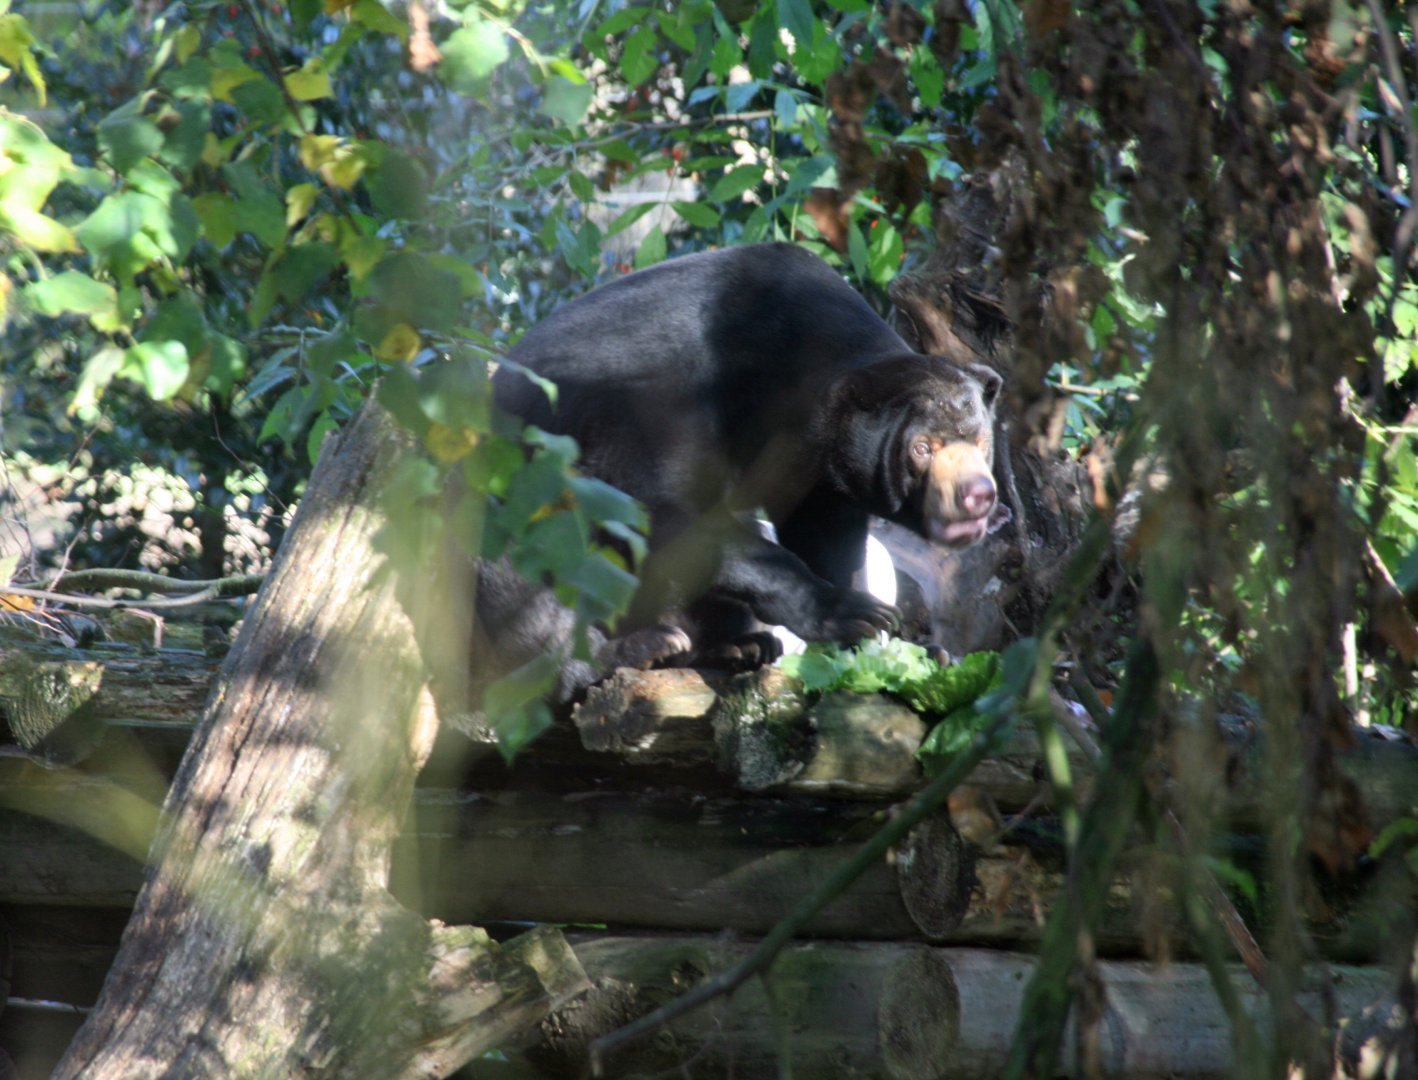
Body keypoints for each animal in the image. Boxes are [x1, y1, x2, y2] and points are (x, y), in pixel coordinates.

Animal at [476, 242, 1004, 704]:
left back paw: (737, 646)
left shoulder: (821, 470)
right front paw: (856, 615)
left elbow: (825, 538)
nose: (977, 496)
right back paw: (643, 647)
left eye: (981, 441)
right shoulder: (655, 403)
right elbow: (656, 504)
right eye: (922, 448)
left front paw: (902, 643)